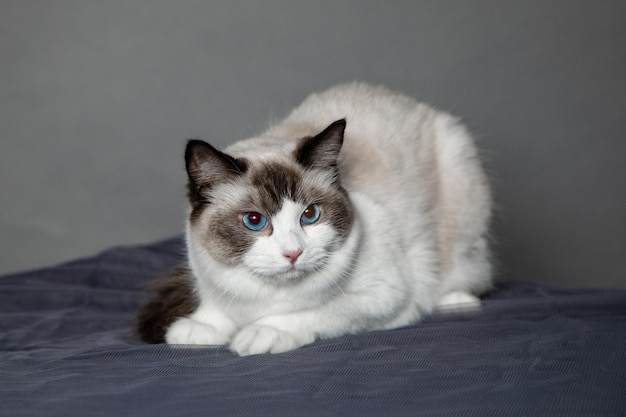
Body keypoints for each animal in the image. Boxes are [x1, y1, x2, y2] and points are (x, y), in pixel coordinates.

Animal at [134, 81, 490, 354]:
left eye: (310, 214)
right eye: (254, 221)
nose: (293, 253)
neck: (261, 297)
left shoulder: (380, 296)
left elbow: (310, 313)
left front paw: (258, 334)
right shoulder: (213, 282)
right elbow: (214, 309)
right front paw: (197, 329)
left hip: (460, 184)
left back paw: (456, 299)